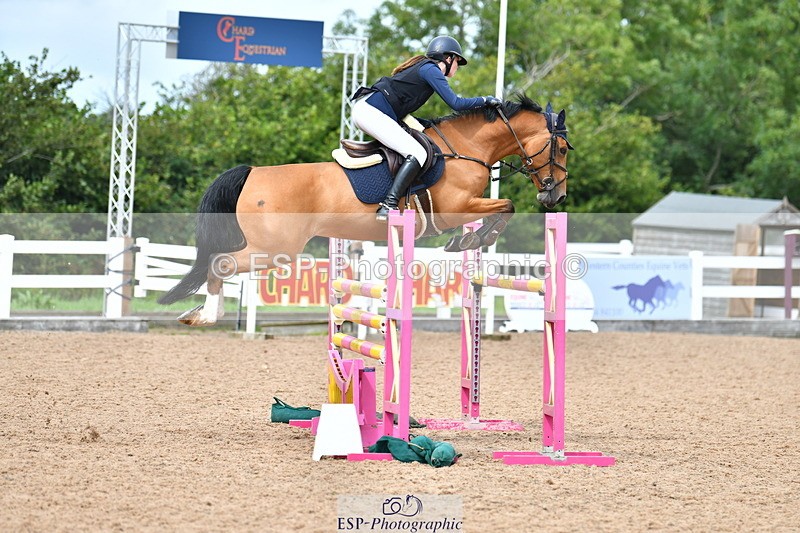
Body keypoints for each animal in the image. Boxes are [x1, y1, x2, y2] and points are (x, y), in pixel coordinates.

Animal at [158, 94, 572, 326]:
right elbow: (507, 206)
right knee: (219, 263)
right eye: (563, 148)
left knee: (216, 263)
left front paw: (468, 243)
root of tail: (252, 172)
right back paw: (206, 315)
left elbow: (501, 208)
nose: (555, 197)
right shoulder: (454, 209)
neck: (465, 148)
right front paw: (472, 241)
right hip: (275, 250)